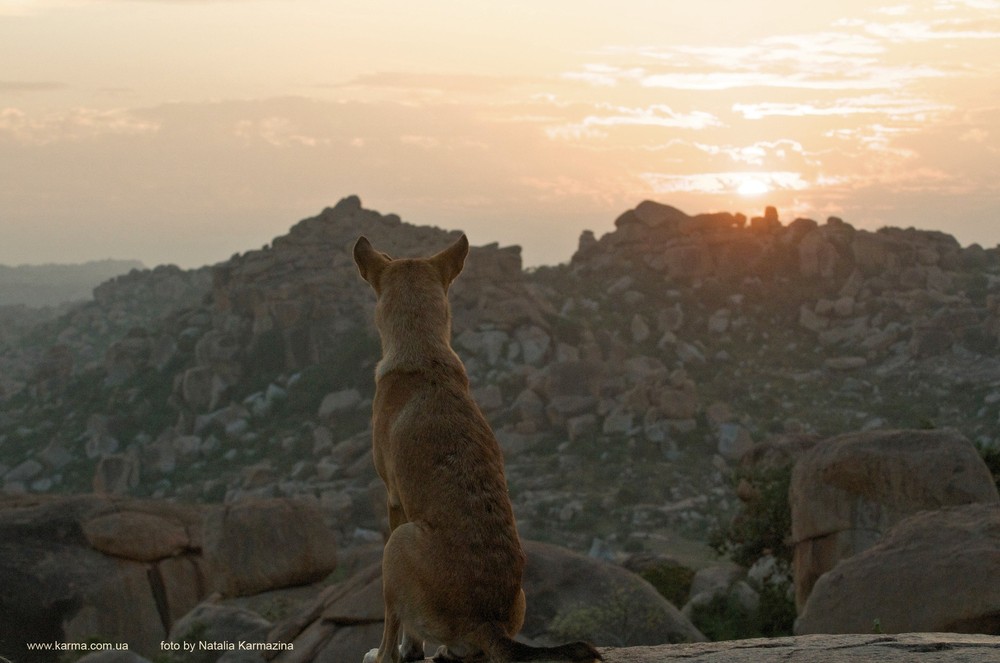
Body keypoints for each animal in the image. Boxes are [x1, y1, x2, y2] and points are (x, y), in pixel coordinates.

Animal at [354, 233, 600, 663]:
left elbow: (400, 631)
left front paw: (398, 652)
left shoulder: (394, 501)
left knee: (392, 617)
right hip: (521, 597)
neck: (424, 354)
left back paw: (383, 654)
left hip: (397, 546)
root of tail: (486, 622)